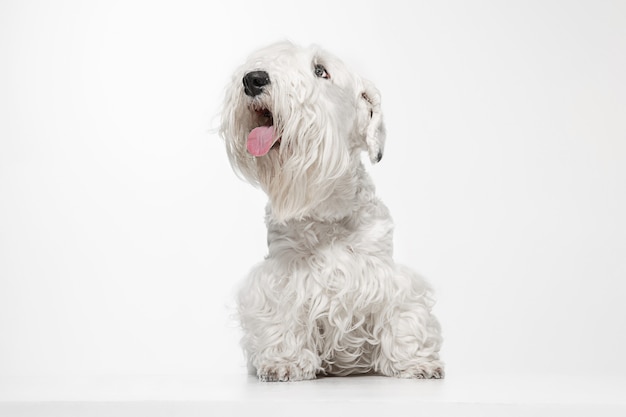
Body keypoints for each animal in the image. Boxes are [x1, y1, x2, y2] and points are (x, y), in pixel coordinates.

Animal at [219, 42, 444, 380]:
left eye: (320, 70)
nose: (253, 79)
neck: (326, 212)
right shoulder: (279, 277)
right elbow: (281, 317)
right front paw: (284, 362)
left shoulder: (389, 278)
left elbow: (403, 315)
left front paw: (416, 362)